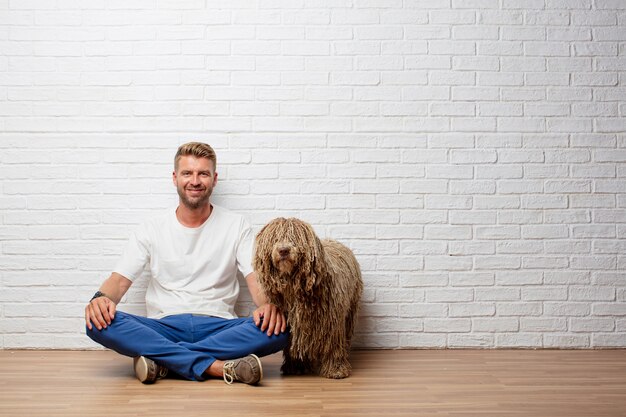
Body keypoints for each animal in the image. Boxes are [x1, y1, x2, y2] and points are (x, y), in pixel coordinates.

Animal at [252, 216, 364, 378]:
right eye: (275, 238)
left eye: (295, 238)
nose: (283, 250)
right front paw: (296, 366)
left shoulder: (332, 320)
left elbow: (333, 344)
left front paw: (335, 369)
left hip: (351, 308)